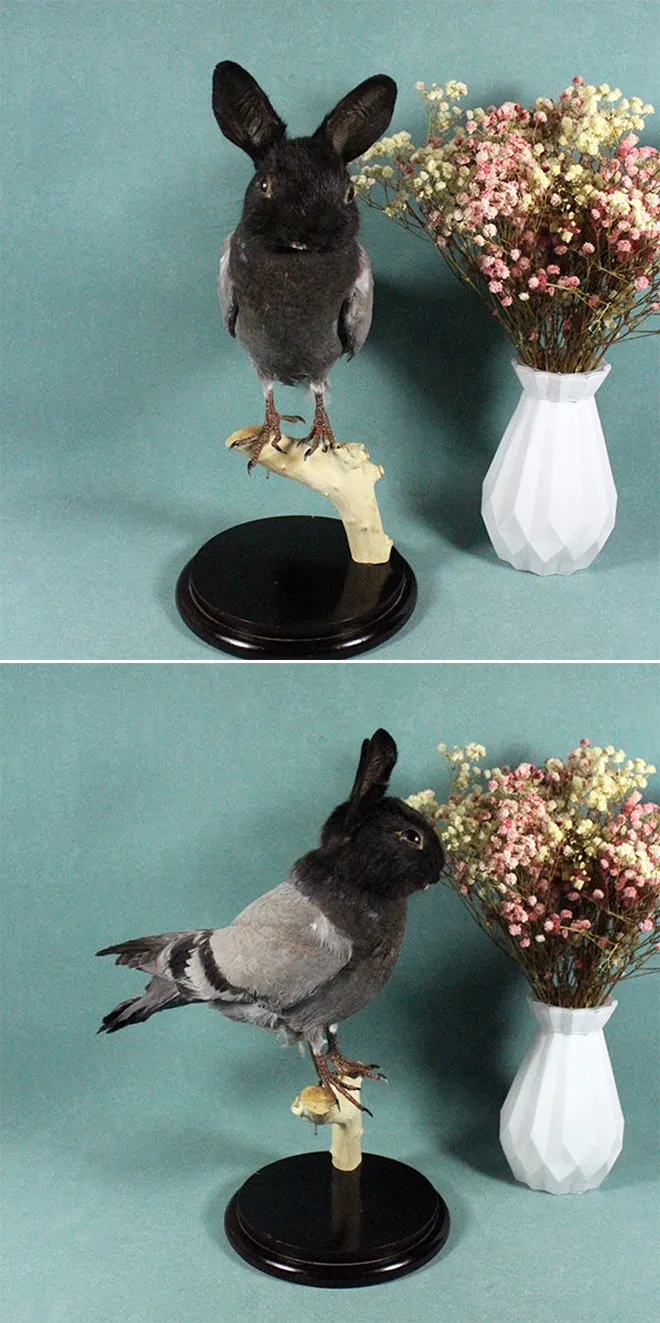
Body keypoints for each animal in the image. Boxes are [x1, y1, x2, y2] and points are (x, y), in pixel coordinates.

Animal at [97, 729, 443, 1110]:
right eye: (411, 837)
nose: (440, 868)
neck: (359, 898)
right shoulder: (309, 1018)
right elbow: (316, 1048)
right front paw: (332, 1083)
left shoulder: (335, 1011)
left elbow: (334, 1039)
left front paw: (346, 1066)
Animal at [212, 61, 397, 470]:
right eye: (265, 185)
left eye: (348, 193)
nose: (307, 232)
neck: (292, 270)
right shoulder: (257, 352)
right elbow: (266, 393)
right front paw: (267, 433)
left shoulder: (324, 356)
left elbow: (319, 393)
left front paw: (323, 434)